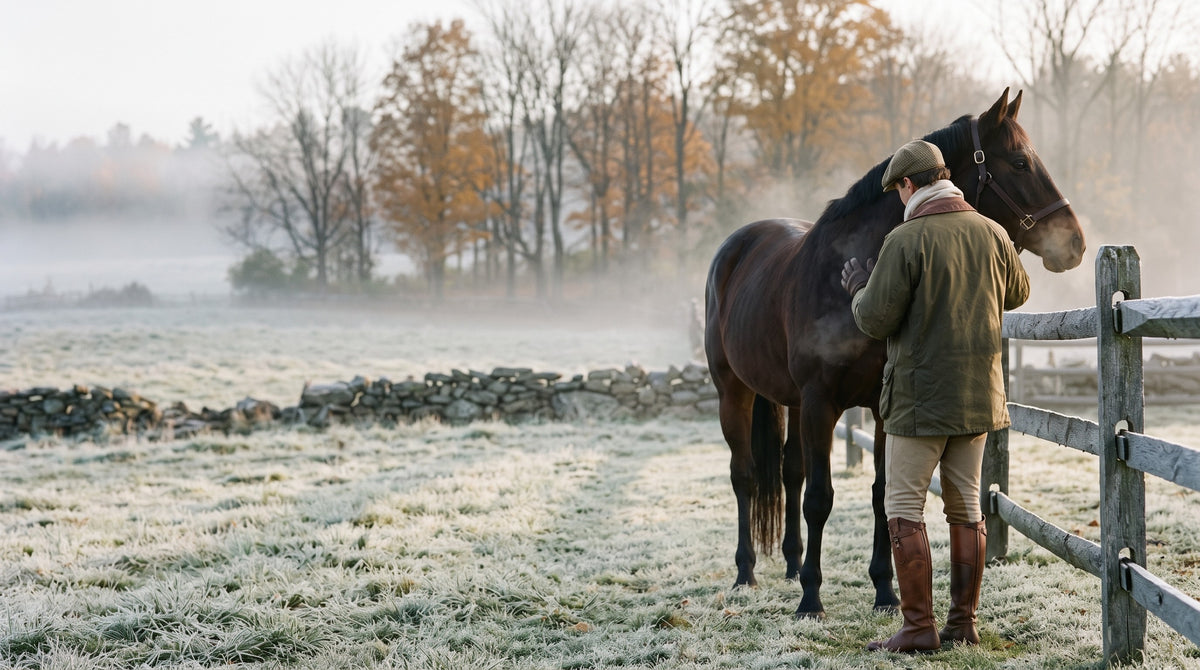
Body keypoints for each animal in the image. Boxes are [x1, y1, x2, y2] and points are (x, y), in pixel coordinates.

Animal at [704, 89, 1084, 619]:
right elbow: (820, 498)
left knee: (789, 473)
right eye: (1020, 162)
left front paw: (884, 591)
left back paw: (791, 564)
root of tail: (735, 247)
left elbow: (882, 494)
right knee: (745, 477)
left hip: (789, 402)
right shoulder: (820, 402)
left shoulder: (883, 409)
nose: (1075, 243)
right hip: (734, 392)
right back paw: (746, 573)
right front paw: (811, 600)